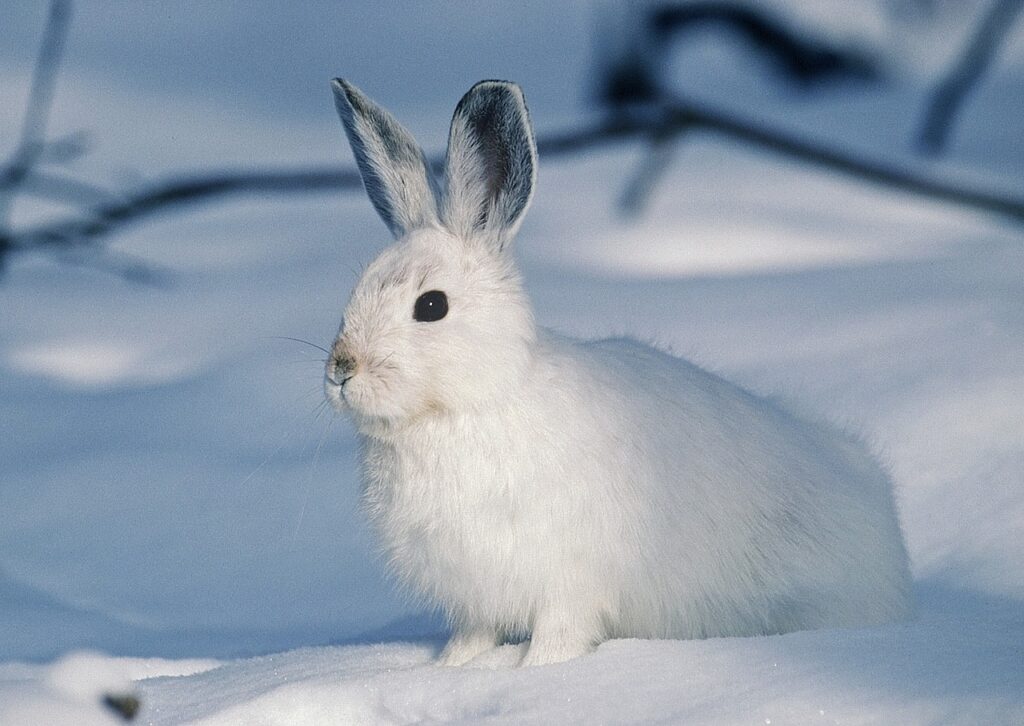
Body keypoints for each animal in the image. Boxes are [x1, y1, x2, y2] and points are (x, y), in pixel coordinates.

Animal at [324, 78, 914, 668]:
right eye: (354, 294)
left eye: (431, 306)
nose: (341, 370)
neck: (473, 402)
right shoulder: (476, 600)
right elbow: (473, 637)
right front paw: (451, 669)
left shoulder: (567, 585)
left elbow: (558, 637)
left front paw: (534, 672)